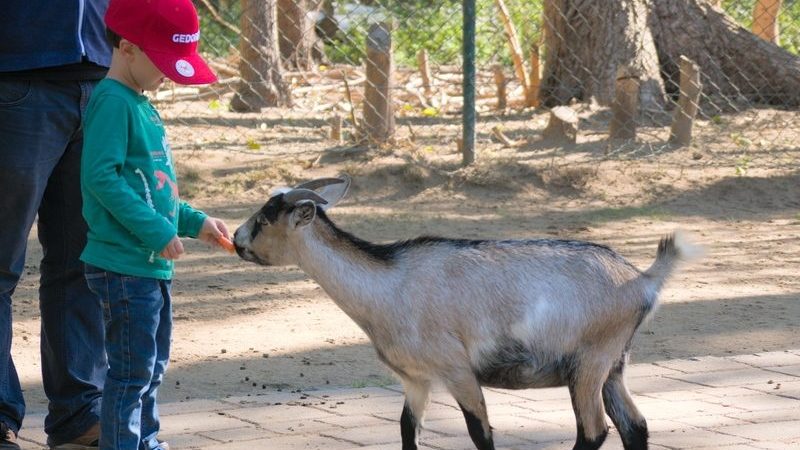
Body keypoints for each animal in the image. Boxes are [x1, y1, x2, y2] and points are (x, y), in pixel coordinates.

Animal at [231, 176, 700, 450]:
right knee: (634, 427)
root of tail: (641, 279)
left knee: (594, 430)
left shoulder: (457, 370)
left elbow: (481, 433)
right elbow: (407, 430)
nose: (235, 239)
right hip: (614, 367)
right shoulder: (416, 380)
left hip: (588, 363)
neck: (390, 283)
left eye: (267, 216)